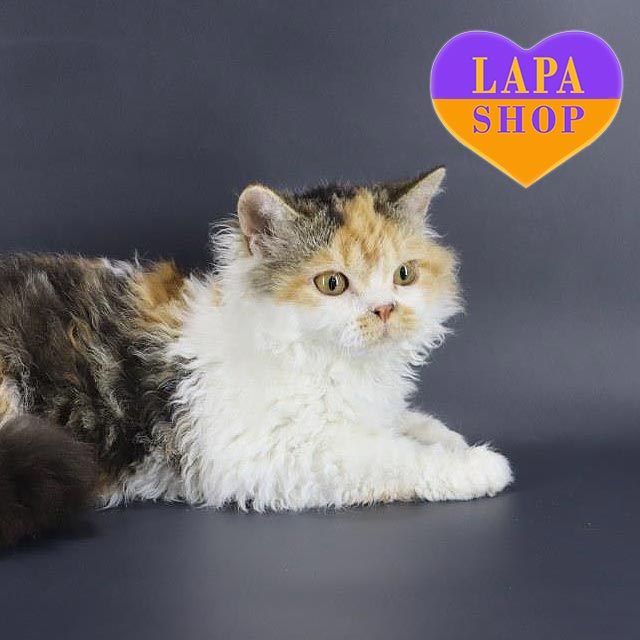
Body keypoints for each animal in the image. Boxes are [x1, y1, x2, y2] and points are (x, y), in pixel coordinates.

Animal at [0, 167, 513, 545]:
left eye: (404, 275)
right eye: (332, 283)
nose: (385, 309)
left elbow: (409, 422)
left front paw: (449, 438)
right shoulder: (274, 455)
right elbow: (397, 457)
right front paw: (480, 466)